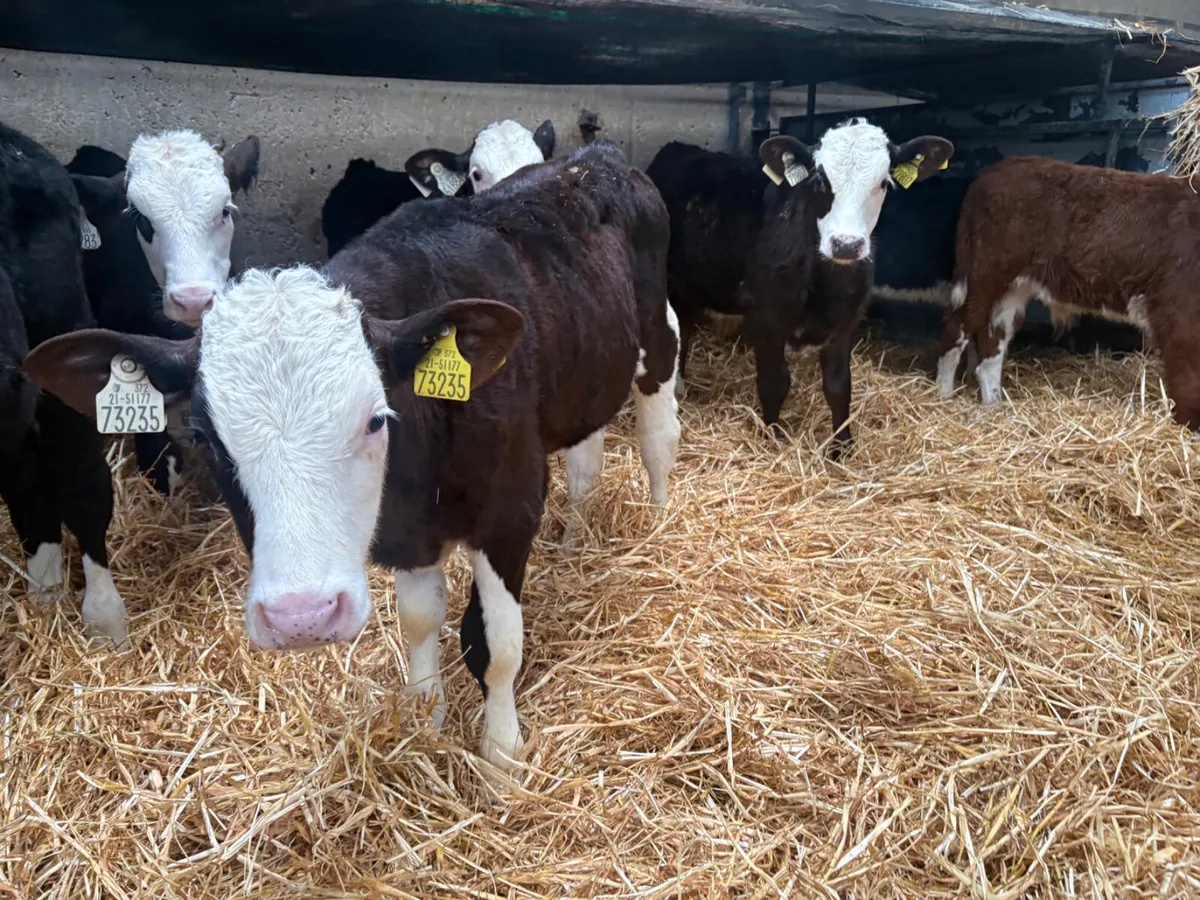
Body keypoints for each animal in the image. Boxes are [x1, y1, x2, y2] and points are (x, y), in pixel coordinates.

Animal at [647, 119, 953, 454]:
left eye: (884, 183)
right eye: (819, 181)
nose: (847, 245)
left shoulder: (846, 322)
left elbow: (839, 385)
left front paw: (842, 447)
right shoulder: (766, 318)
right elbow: (775, 381)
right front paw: (772, 436)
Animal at [937, 155, 1199, 425]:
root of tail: (997, 168)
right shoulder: (1178, 312)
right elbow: (1188, 379)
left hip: (1012, 288)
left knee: (993, 340)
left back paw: (994, 405)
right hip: (985, 274)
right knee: (957, 325)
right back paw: (942, 395)